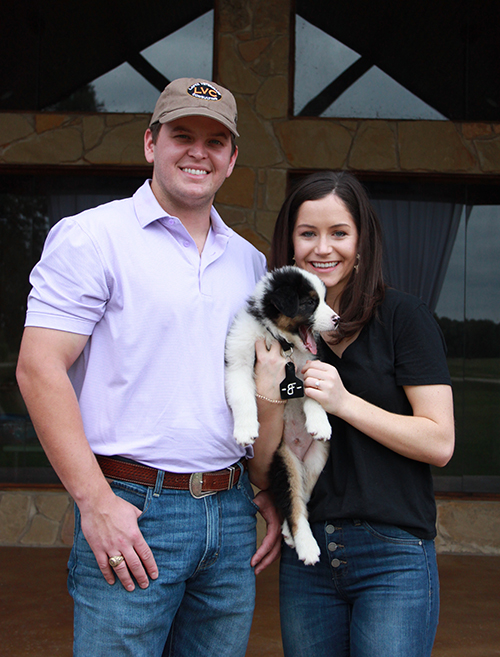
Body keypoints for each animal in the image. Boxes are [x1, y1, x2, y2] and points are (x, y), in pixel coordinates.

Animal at [226, 266, 340, 564]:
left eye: (324, 300)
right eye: (310, 302)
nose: (338, 319)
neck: (281, 340)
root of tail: (296, 453)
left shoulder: (312, 364)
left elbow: (314, 394)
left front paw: (320, 423)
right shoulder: (239, 360)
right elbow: (242, 396)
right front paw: (245, 431)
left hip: (316, 462)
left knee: (300, 498)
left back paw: (292, 534)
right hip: (283, 461)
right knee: (292, 502)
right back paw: (306, 546)